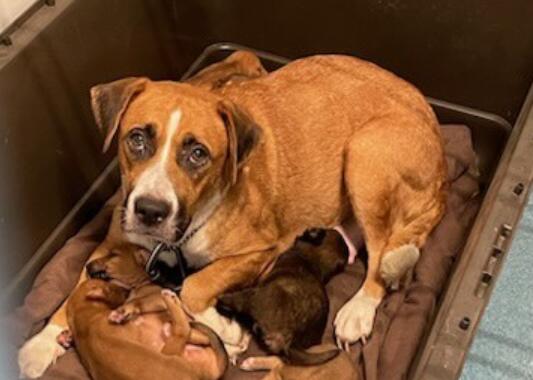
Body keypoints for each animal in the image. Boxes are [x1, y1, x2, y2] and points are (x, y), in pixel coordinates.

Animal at [65, 246, 227, 380]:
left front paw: (125, 309)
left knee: (187, 330)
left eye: (113, 255)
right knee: (191, 332)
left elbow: (138, 301)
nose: (87, 266)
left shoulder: (154, 298)